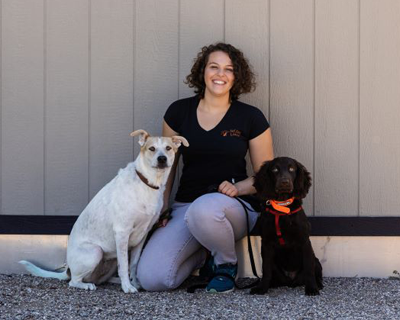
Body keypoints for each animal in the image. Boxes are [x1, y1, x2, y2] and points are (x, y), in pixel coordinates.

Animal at [21, 129, 190, 292]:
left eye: (168, 148)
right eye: (152, 148)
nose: (162, 159)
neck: (147, 183)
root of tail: (68, 270)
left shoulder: (142, 235)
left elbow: (133, 265)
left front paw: (134, 283)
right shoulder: (122, 233)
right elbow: (125, 266)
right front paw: (128, 287)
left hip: (111, 260)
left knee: (103, 279)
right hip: (96, 252)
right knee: (74, 281)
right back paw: (87, 285)